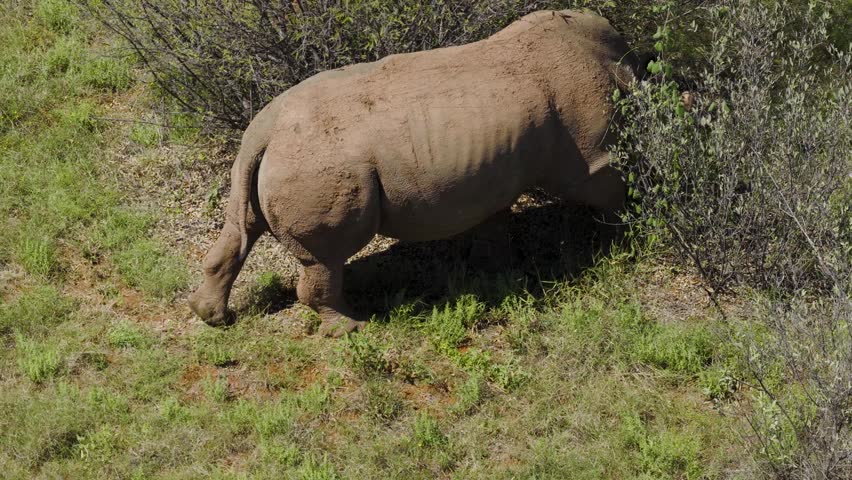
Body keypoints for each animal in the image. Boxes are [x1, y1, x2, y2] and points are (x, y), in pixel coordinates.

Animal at [188, 9, 639, 336]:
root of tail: (265, 131)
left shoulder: (496, 167)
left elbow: (495, 223)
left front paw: (497, 271)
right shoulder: (590, 157)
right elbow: (611, 191)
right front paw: (627, 240)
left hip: (264, 158)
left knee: (241, 225)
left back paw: (211, 317)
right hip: (314, 163)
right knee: (326, 257)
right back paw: (351, 327)